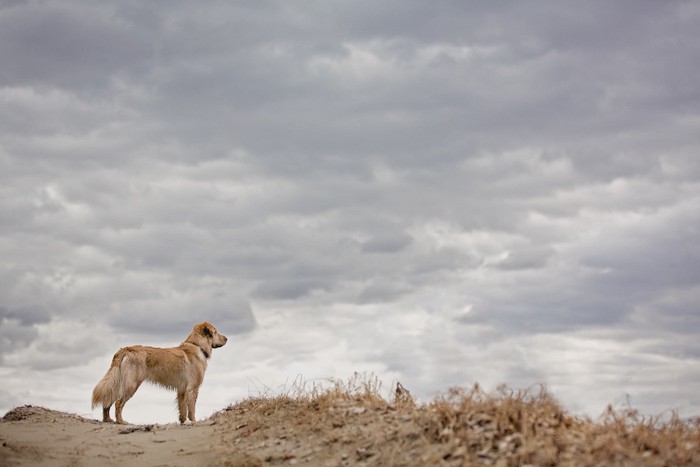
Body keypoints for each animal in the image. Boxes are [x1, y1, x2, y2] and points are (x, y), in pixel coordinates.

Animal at [91, 324, 228, 426]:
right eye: (216, 332)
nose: (226, 338)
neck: (197, 345)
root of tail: (125, 349)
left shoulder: (182, 390)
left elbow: (182, 409)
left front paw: (183, 422)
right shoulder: (193, 388)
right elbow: (192, 409)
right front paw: (194, 422)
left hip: (118, 383)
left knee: (108, 401)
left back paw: (108, 420)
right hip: (131, 385)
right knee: (118, 403)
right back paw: (121, 421)